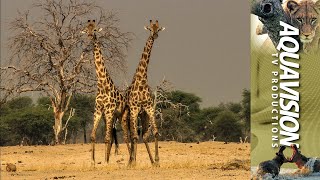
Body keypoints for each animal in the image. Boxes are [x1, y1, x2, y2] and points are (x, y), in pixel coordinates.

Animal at [82, 20, 131, 166]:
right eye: (87, 29)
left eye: (95, 30)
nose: (90, 35)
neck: (102, 84)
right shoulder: (99, 110)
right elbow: (93, 136)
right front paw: (93, 162)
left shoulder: (109, 111)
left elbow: (107, 138)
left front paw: (105, 161)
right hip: (110, 117)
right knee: (113, 134)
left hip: (122, 116)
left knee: (126, 136)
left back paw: (130, 158)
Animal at [122, 19, 165, 167]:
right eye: (150, 29)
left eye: (158, 29)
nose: (155, 35)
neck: (141, 81)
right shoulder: (134, 109)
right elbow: (134, 136)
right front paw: (133, 162)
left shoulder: (148, 108)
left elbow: (155, 133)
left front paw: (157, 161)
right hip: (126, 116)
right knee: (128, 136)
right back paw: (130, 161)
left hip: (142, 115)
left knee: (142, 136)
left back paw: (147, 161)